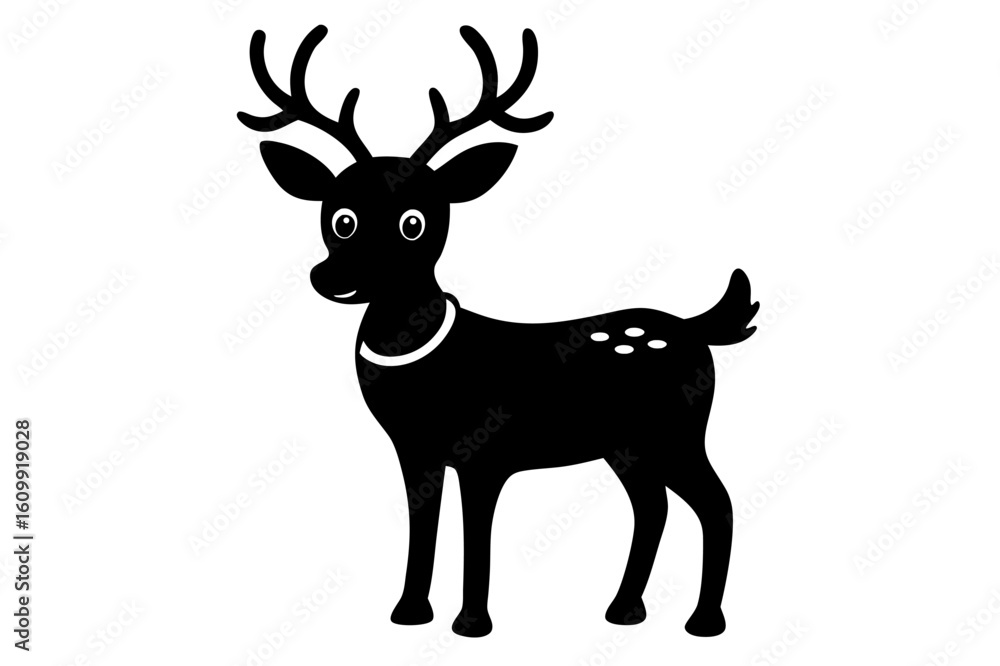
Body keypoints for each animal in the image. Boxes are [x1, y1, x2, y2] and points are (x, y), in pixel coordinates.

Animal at [238, 24, 759, 638]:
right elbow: (423, 526)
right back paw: (624, 611)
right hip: (626, 444)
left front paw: (471, 623)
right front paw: (408, 613)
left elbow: (476, 534)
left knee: (716, 502)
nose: (332, 277)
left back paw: (703, 622)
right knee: (653, 504)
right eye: (340, 217)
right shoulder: (414, 451)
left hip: (677, 431)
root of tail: (699, 327)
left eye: (414, 223)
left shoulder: (485, 450)